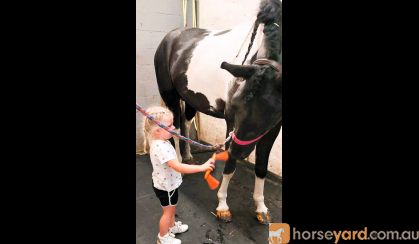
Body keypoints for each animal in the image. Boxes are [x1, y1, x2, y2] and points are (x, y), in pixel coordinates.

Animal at [153, 0, 282, 224]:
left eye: (270, 112)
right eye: (236, 105)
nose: (239, 153)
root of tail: (170, 38)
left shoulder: (274, 127)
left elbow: (261, 167)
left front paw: (261, 208)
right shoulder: (231, 122)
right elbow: (229, 166)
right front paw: (222, 206)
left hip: (191, 98)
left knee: (186, 123)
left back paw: (188, 157)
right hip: (171, 97)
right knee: (175, 128)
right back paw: (179, 163)